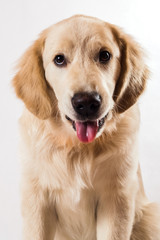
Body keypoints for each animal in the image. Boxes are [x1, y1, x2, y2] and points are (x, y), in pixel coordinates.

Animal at [12, 15, 160, 240]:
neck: (78, 148)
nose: (87, 102)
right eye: (59, 59)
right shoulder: (37, 199)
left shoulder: (117, 198)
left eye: (105, 55)